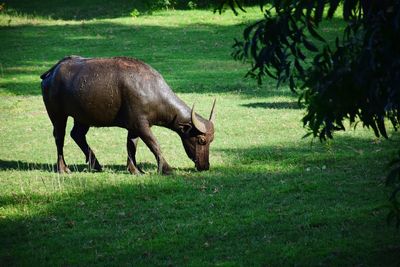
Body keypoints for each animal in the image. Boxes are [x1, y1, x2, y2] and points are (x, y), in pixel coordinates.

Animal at [40, 55, 216, 175]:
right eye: (201, 140)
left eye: (211, 140)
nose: (205, 166)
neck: (151, 91)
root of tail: (52, 71)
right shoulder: (141, 125)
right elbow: (154, 144)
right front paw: (166, 169)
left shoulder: (134, 126)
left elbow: (132, 145)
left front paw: (134, 169)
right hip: (57, 115)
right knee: (59, 137)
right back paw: (63, 168)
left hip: (83, 117)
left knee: (77, 135)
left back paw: (96, 165)